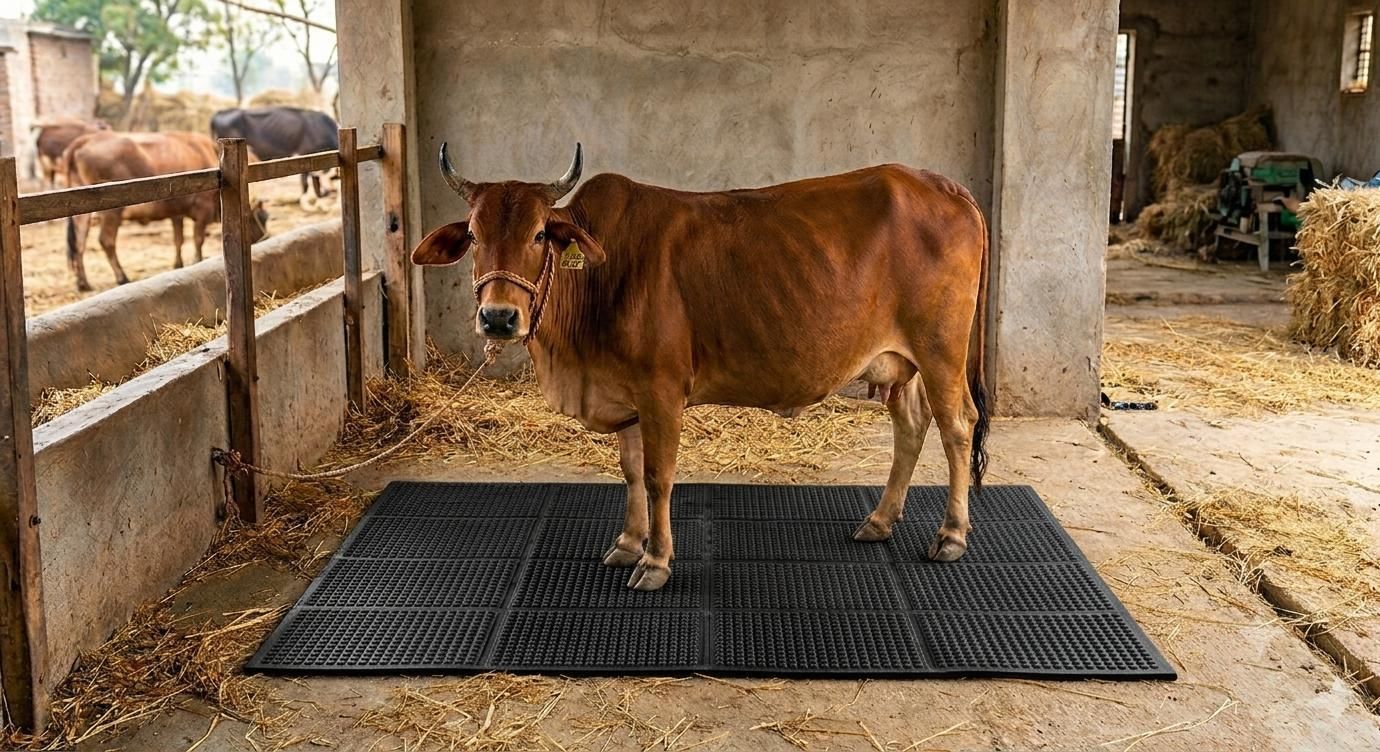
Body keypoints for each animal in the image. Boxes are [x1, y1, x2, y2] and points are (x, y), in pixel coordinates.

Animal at [61, 131, 269, 291]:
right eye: (262, 217)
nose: (264, 237)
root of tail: (85, 139)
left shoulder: (176, 213)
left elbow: (178, 239)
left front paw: (178, 264)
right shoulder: (202, 210)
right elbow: (198, 239)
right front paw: (196, 260)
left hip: (82, 213)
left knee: (79, 243)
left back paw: (83, 283)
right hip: (112, 211)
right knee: (106, 241)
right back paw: (122, 277)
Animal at [210, 106, 339, 207]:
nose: (331, 191)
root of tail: (221, 112)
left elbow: (316, 182)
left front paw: (318, 198)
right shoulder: (305, 154)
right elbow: (306, 183)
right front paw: (303, 199)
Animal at [412, 144, 990, 591]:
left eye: (538, 235)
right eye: (473, 235)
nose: (498, 317)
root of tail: (943, 185)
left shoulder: (661, 389)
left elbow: (657, 476)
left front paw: (655, 562)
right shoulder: (626, 393)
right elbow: (629, 470)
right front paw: (628, 543)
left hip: (940, 350)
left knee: (958, 426)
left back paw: (951, 535)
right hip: (901, 362)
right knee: (912, 425)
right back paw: (879, 520)